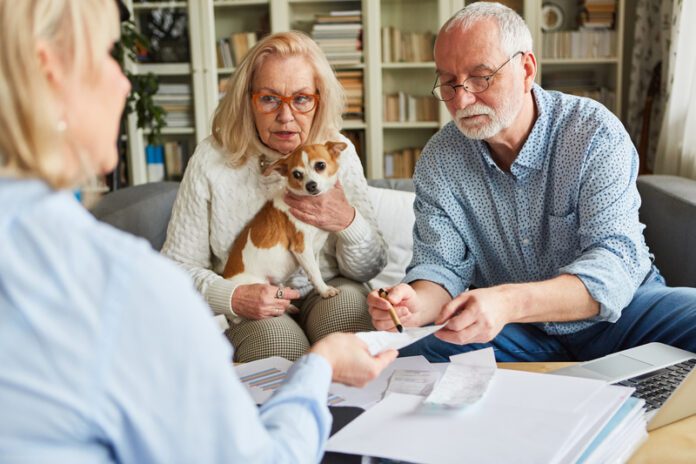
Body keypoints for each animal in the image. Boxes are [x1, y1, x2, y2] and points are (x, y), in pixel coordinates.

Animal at [223, 140, 348, 298]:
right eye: (297, 174)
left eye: (320, 165)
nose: (311, 185)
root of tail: (226, 279)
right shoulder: (301, 248)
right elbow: (314, 272)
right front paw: (325, 290)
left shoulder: (314, 249)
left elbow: (315, 268)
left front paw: (318, 288)